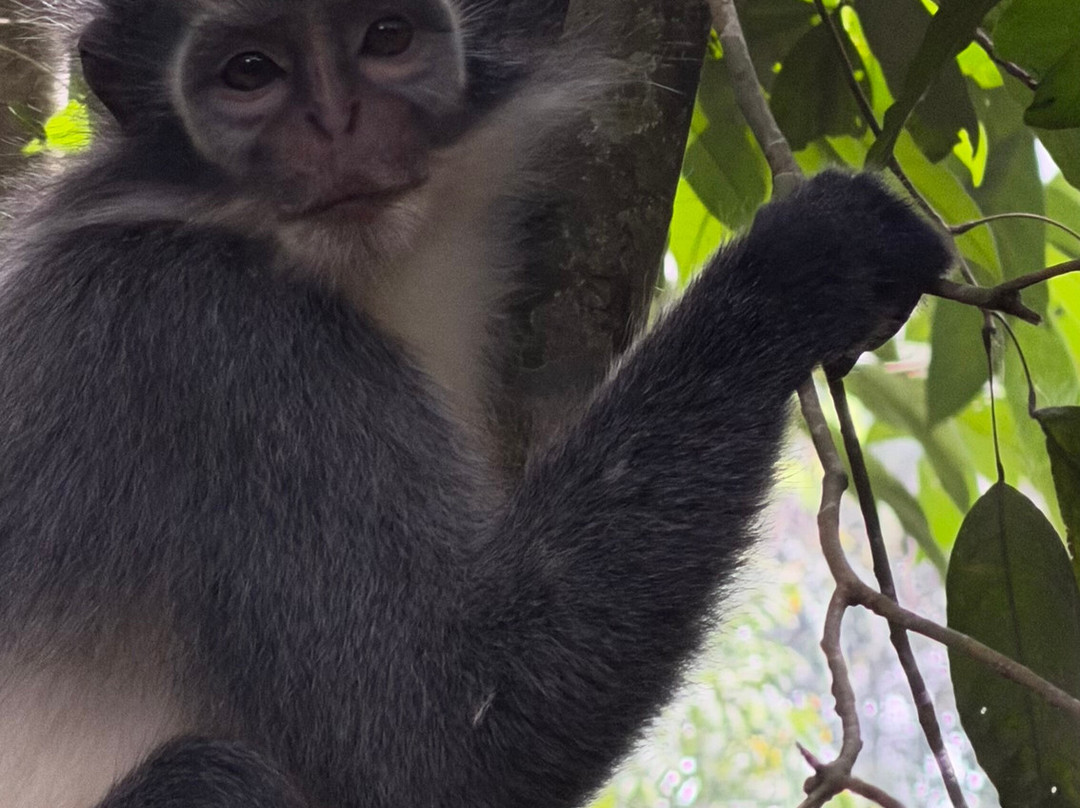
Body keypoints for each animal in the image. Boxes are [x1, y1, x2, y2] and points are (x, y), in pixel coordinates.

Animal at [0, 1, 952, 807]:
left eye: (385, 36)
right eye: (249, 71)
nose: (336, 126)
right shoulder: (212, 343)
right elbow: (435, 739)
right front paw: (806, 263)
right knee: (216, 778)